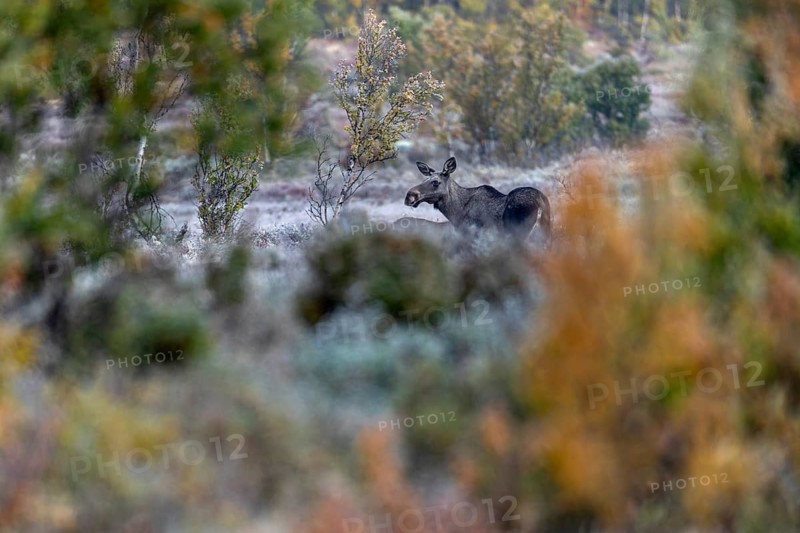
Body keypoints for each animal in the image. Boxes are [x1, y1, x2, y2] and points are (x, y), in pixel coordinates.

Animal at [404, 156, 551, 245]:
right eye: (424, 179)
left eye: (435, 182)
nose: (409, 196)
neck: (456, 211)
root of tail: (541, 200)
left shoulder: (470, 234)